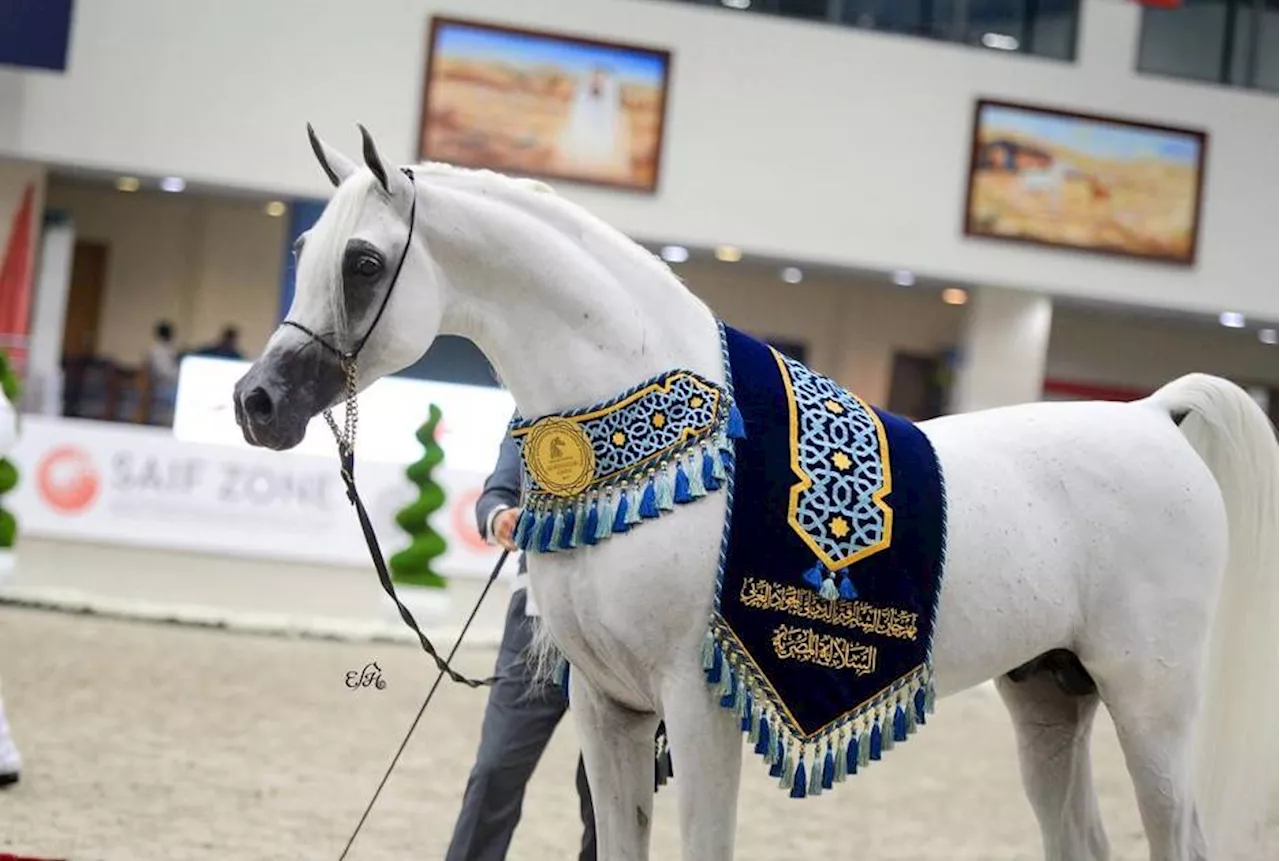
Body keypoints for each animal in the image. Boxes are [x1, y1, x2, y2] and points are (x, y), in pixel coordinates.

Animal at [232, 127, 1280, 859]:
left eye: (364, 263)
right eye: (308, 248)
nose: (257, 402)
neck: (660, 438)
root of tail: (1153, 415)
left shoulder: (697, 705)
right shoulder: (609, 708)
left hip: (1152, 706)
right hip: (1050, 696)